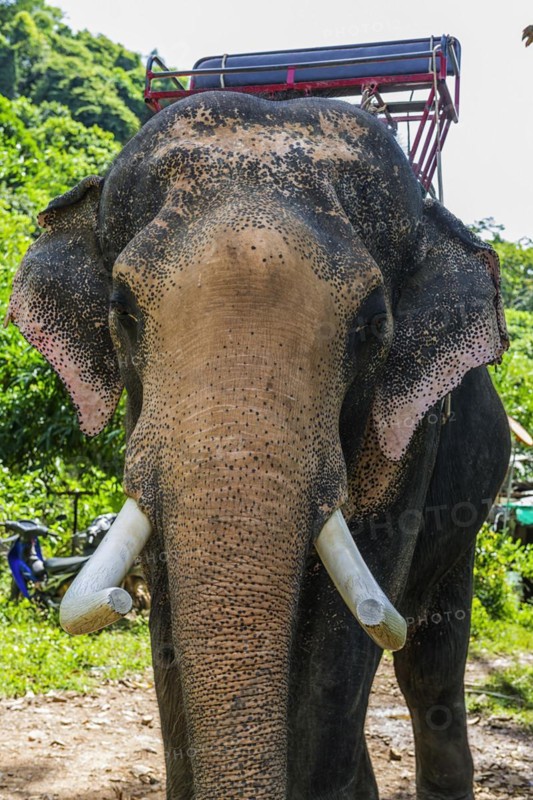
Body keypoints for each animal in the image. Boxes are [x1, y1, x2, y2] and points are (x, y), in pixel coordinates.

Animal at [8, 92, 510, 800]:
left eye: (373, 324)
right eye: (122, 309)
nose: (117, 598)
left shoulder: (411, 439)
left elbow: (346, 627)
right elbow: (167, 613)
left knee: (429, 662)